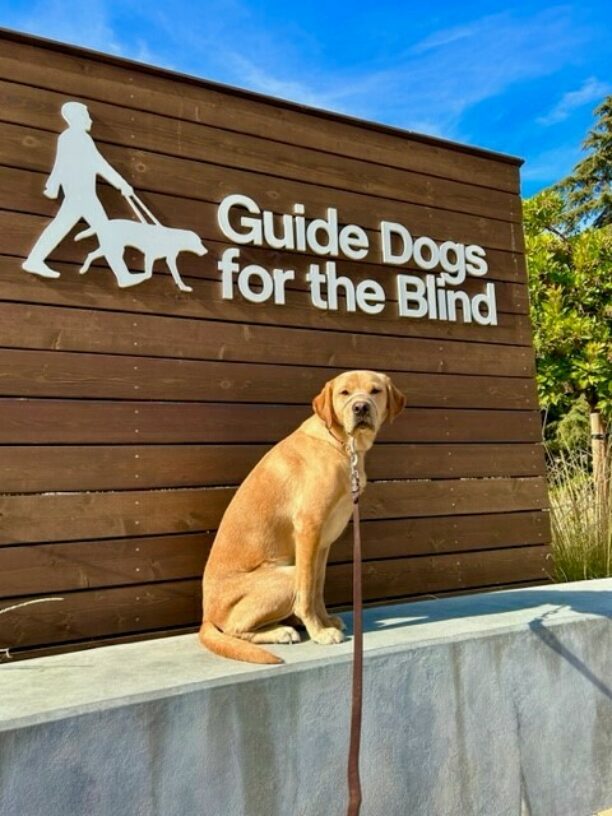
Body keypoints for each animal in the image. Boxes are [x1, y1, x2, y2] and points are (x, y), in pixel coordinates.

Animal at [198, 370, 404, 664]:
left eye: (375, 390)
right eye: (344, 392)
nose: (360, 408)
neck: (343, 446)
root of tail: (206, 616)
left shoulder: (323, 542)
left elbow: (317, 587)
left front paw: (324, 622)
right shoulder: (309, 529)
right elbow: (306, 592)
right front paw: (318, 632)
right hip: (286, 575)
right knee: (234, 629)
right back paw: (281, 631)